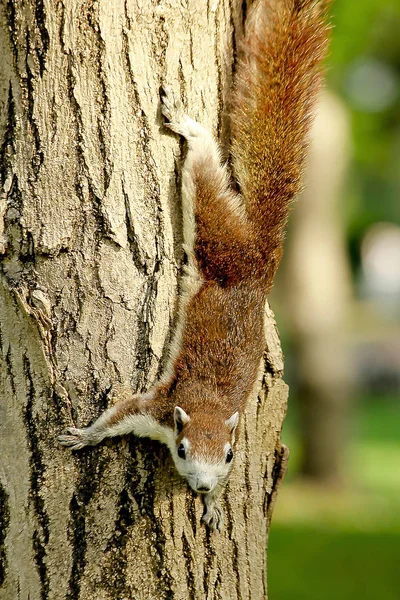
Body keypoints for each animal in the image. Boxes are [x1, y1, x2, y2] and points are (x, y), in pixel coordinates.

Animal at [58, 0, 332, 528]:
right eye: (182, 450)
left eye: (229, 456)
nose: (203, 485)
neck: (206, 406)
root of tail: (260, 259)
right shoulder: (156, 407)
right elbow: (117, 415)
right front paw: (84, 434)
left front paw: (213, 505)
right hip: (216, 237)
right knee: (205, 171)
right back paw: (188, 125)